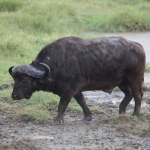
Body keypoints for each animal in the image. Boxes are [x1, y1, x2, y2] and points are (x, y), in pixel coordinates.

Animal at [9, 36, 145, 123]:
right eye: (14, 79)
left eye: (24, 79)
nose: (14, 95)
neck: (56, 65)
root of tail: (138, 46)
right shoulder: (76, 90)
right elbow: (82, 101)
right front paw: (87, 117)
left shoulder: (68, 91)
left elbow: (62, 105)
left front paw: (57, 120)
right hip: (122, 81)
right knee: (128, 93)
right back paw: (121, 110)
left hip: (135, 79)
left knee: (137, 94)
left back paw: (136, 114)